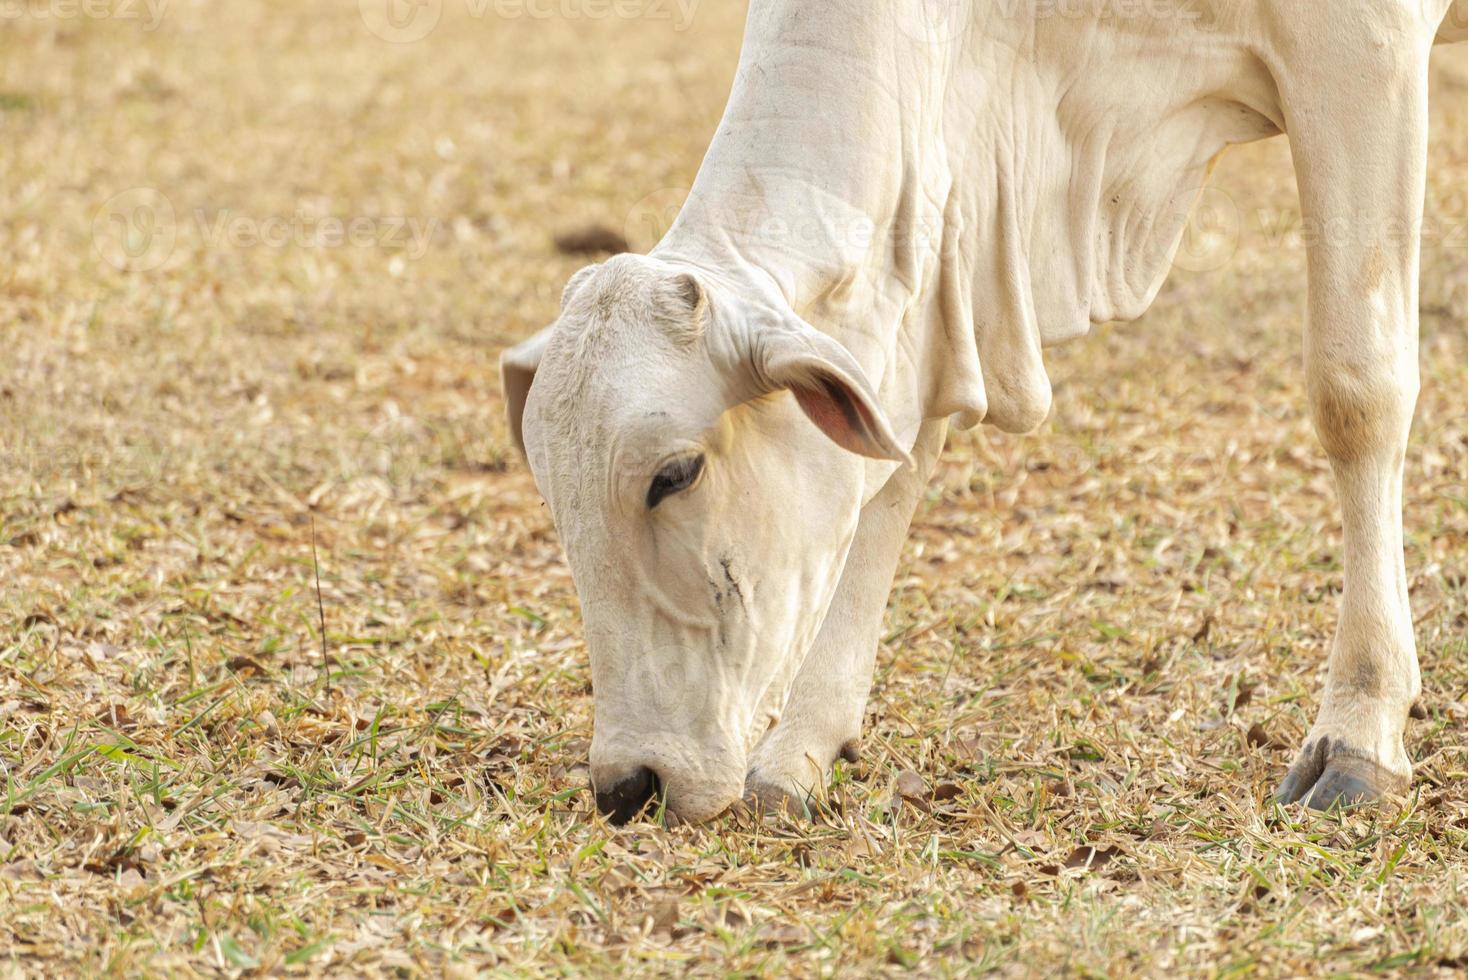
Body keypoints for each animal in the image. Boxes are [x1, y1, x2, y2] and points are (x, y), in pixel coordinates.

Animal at [504, 1, 1468, 827]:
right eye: (552, 501)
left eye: (674, 474)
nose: (630, 783)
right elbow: (897, 467)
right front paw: (801, 748)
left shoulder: (1364, 48)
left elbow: (1356, 392)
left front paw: (1361, 728)